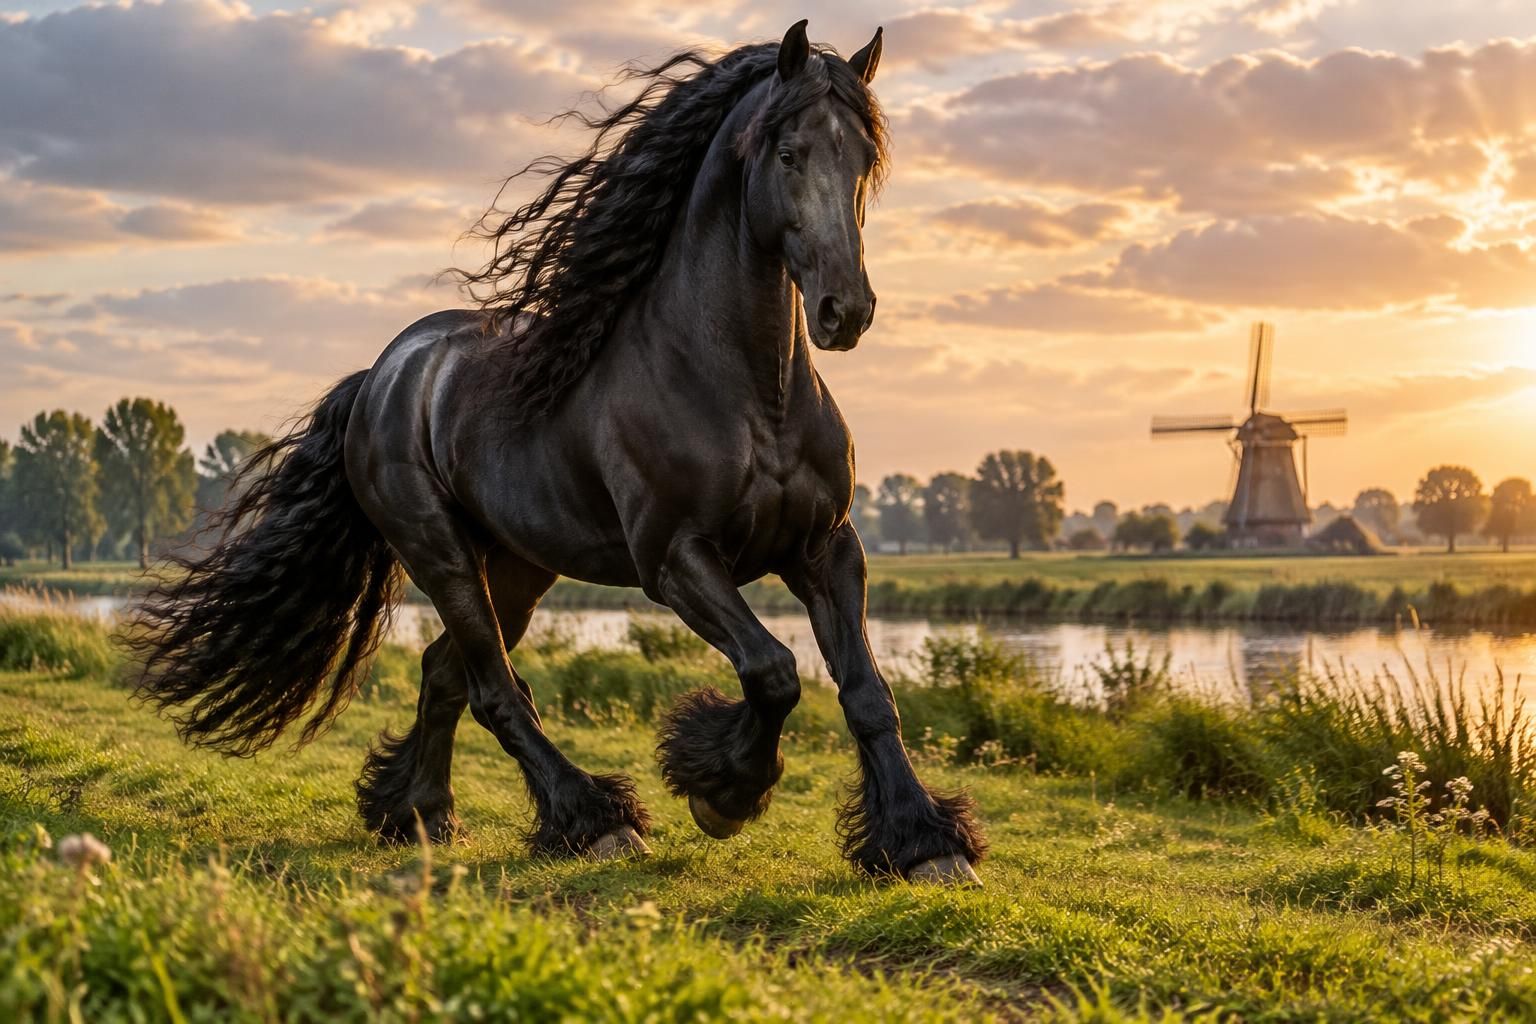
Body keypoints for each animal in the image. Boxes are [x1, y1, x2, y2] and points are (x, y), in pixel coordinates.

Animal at [128, 20, 986, 885]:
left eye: (864, 161)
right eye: (788, 152)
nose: (847, 310)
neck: (747, 391)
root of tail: (382, 375)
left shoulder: (826, 548)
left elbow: (867, 692)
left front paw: (924, 841)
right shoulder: (676, 559)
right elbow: (772, 672)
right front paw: (721, 791)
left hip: (517, 567)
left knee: (445, 673)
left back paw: (419, 812)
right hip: (441, 555)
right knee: (493, 691)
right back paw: (592, 818)